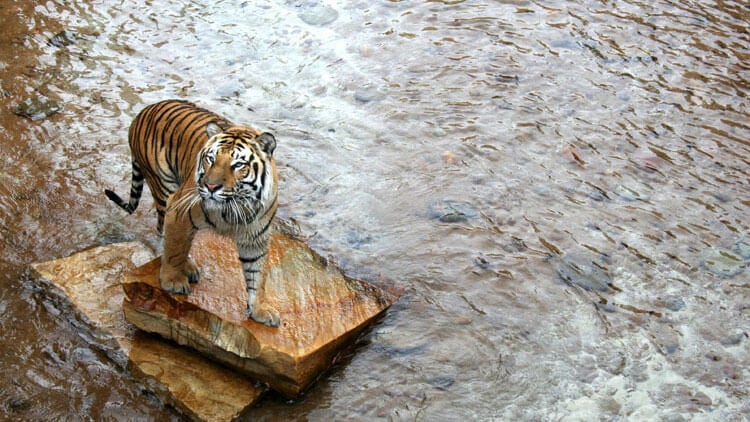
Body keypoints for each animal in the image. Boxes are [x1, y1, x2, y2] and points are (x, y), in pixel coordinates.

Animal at [105, 99, 280, 326]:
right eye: (210, 159)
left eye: (238, 165)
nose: (211, 186)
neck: (233, 207)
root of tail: (143, 111)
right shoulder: (179, 210)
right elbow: (174, 248)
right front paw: (172, 281)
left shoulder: (255, 239)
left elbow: (257, 276)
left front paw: (260, 309)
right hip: (164, 189)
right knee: (164, 233)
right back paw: (185, 266)